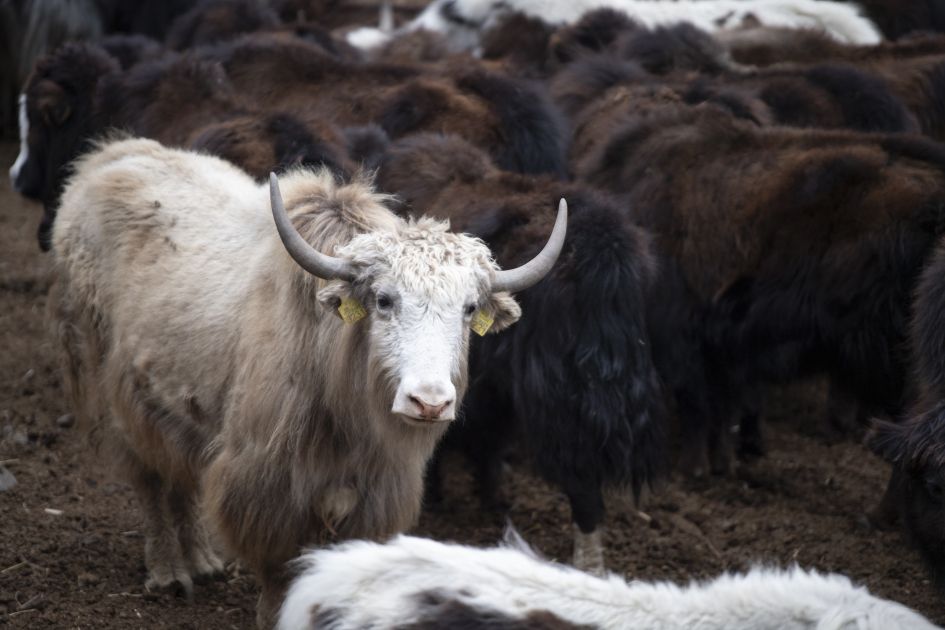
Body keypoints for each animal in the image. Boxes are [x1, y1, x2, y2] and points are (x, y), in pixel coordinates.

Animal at [49, 137, 566, 626]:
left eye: (468, 308)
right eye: (384, 301)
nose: (430, 402)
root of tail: (105, 159)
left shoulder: (374, 492)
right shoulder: (263, 483)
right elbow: (277, 569)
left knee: (179, 476)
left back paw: (203, 562)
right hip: (110, 386)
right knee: (150, 479)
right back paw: (170, 573)